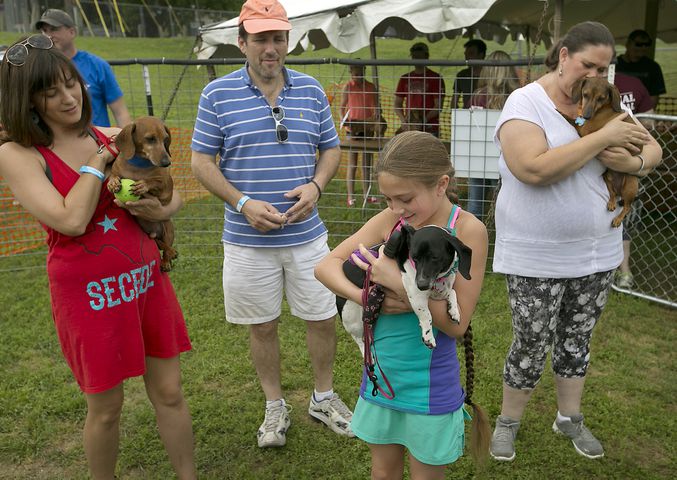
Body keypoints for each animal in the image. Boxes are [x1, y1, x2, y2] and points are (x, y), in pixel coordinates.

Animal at [340, 225, 472, 352]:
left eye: (435, 257)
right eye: (414, 258)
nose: (421, 285)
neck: (439, 279)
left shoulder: (440, 291)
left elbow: (452, 292)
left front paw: (454, 310)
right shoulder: (416, 296)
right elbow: (426, 315)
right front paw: (428, 336)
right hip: (353, 320)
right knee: (360, 341)